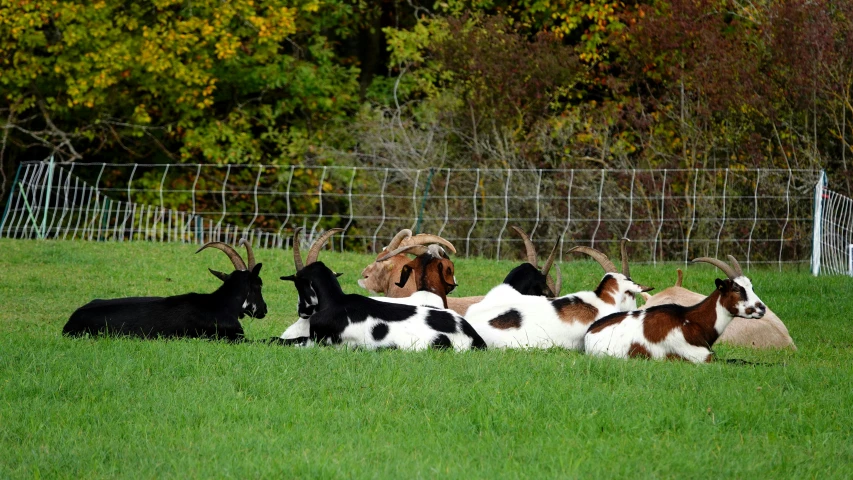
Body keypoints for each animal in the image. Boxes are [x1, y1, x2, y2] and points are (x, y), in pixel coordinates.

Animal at [584, 255, 764, 364]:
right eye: (736, 289)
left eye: (751, 287)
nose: (761, 308)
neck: (691, 321)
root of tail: (589, 333)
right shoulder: (700, 357)